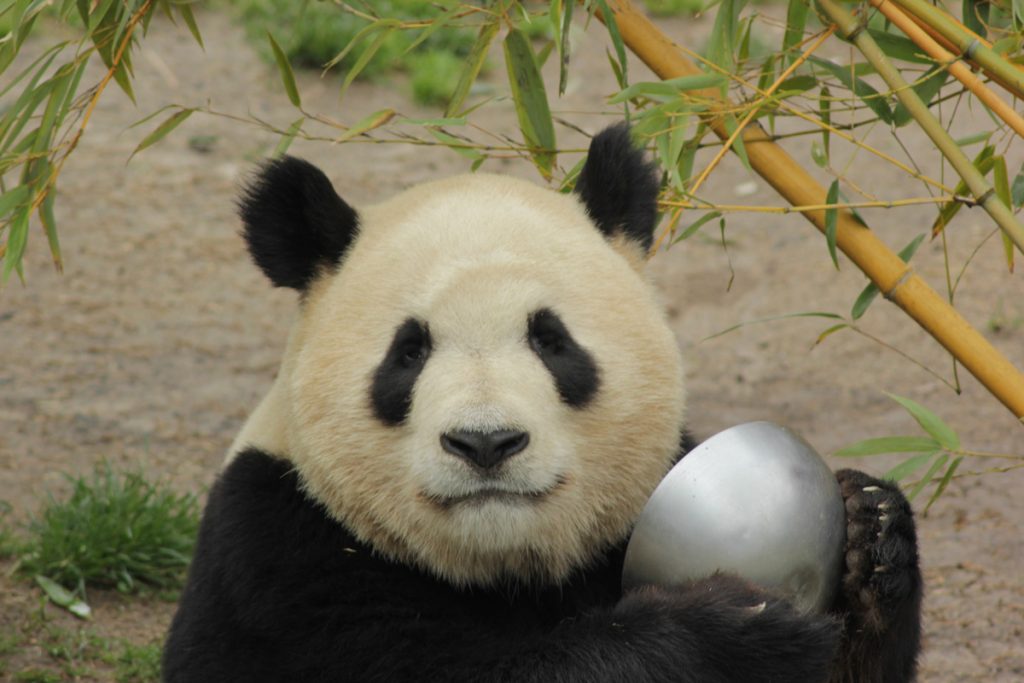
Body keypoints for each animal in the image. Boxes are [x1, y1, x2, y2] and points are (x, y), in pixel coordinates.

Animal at [162, 124, 922, 683]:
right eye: (408, 353)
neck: (504, 565)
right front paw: (729, 628)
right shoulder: (284, 558)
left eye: (552, 341)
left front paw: (872, 530)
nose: (485, 443)